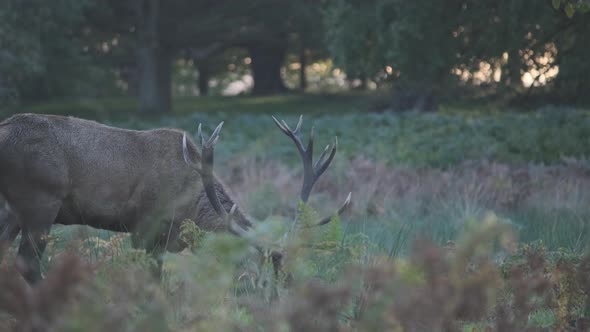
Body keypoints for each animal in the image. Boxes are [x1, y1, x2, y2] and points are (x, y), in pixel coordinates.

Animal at [0, 113, 352, 282]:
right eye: (267, 265)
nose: (289, 289)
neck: (190, 207)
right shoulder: (142, 225)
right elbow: (151, 278)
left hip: (12, 209)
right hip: (40, 200)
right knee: (26, 262)